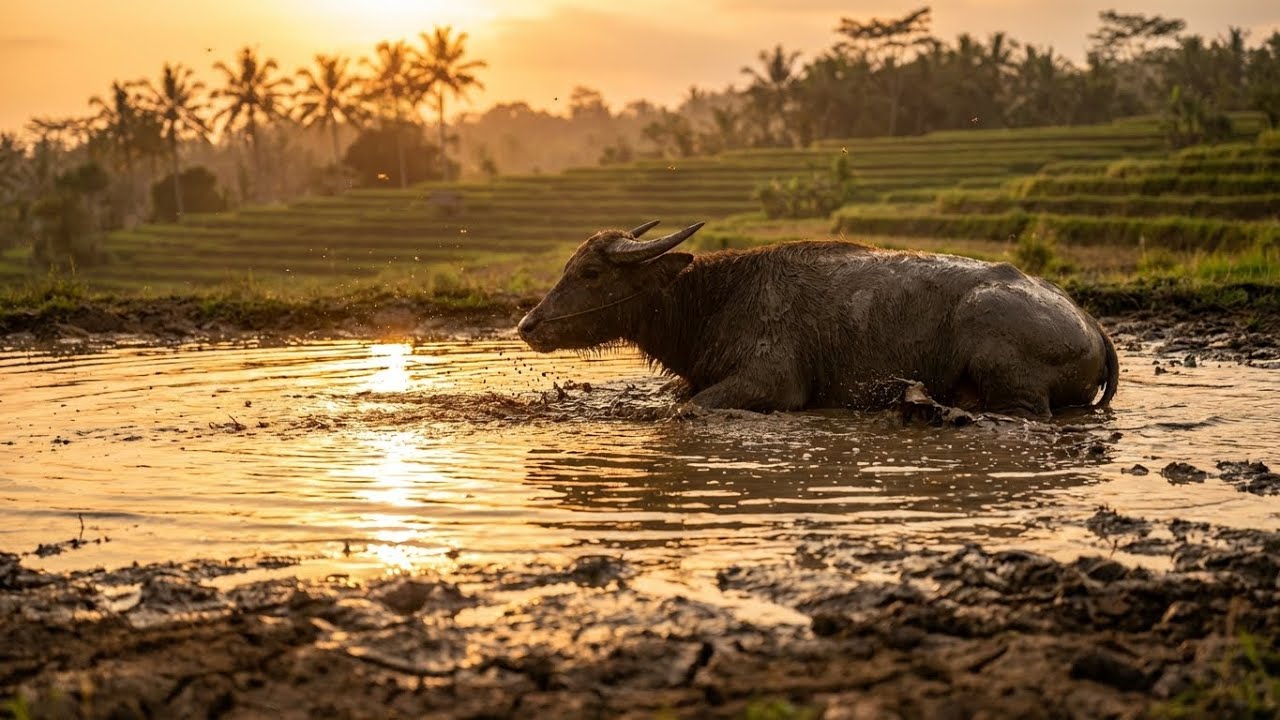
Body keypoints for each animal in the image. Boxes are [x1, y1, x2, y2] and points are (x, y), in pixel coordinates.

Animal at [517, 221, 1118, 418]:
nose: (528, 325)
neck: (716, 299)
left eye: (591, 271)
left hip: (1000, 358)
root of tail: (1092, 326)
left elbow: (686, 408)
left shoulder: (773, 383)